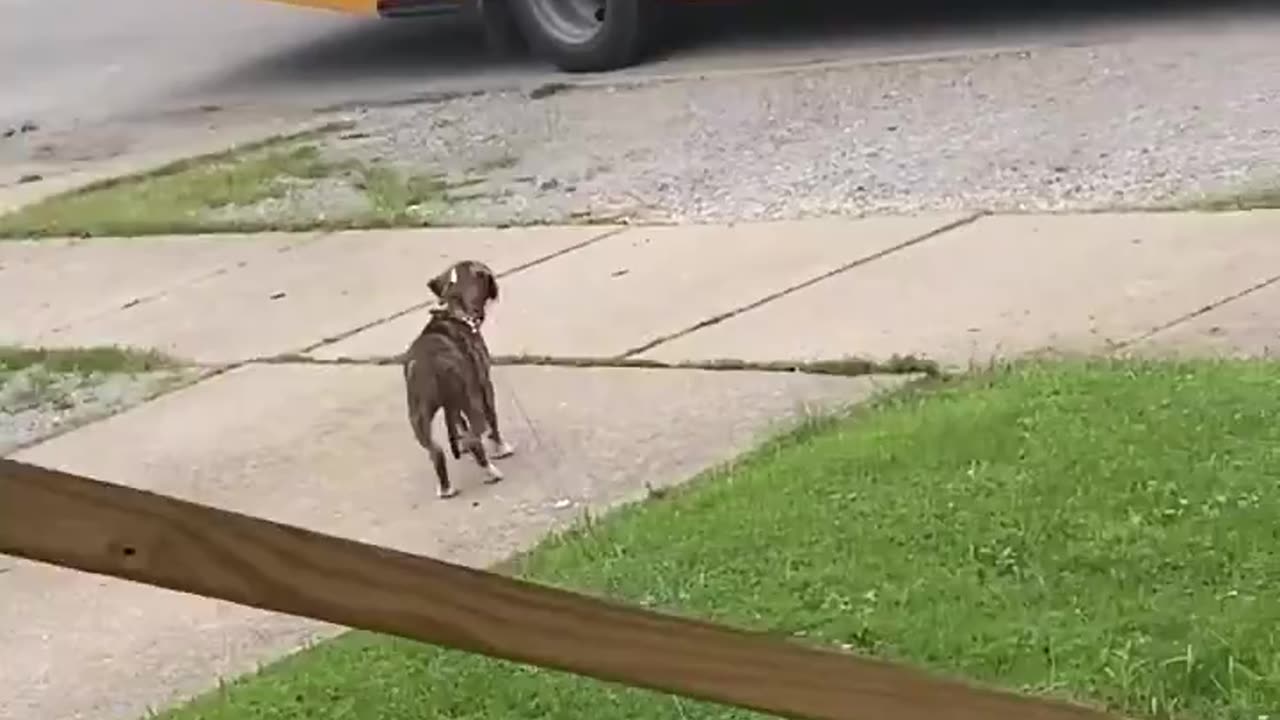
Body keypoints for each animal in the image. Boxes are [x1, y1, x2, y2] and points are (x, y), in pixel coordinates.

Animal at [404, 258, 514, 499]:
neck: (458, 311)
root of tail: (432, 364)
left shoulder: (454, 405)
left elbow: (458, 422)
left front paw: (460, 440)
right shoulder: (484, 386)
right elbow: (493, 421)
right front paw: (501, 447)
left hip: (418, 415)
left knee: (435, 451)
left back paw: (446, 488)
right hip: (473, 402)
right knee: (475, 438)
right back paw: (491, 472)